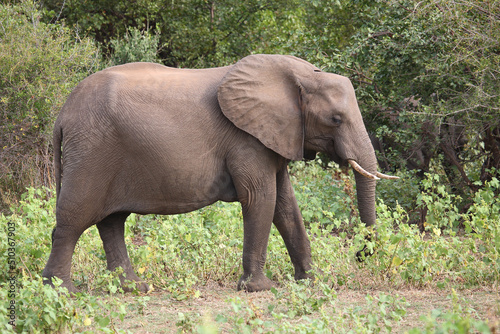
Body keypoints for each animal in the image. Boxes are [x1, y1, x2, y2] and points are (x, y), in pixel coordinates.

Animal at [43, 54, 394, 292]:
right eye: (335, 119)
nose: (361, 255)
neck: (301, 75)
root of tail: (62, 114)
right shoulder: (246, 139)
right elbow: (261, 198)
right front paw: (260, 288)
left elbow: (285, 205)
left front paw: (313, 281)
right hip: (91, 151)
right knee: (73, 220)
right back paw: (63, 291)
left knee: (112, 222)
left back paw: (134, 289)